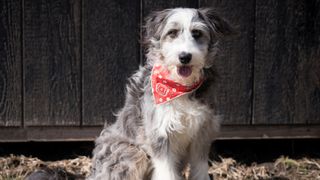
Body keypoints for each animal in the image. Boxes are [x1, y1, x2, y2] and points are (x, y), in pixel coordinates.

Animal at [87, 7, 232, 180]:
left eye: (197, 33)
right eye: (172, 33)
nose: (185, 57)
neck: (180, 87)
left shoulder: (202, 133)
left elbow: (200, 168)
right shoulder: (160, 134)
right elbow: (167, 172)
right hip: (132, 153)